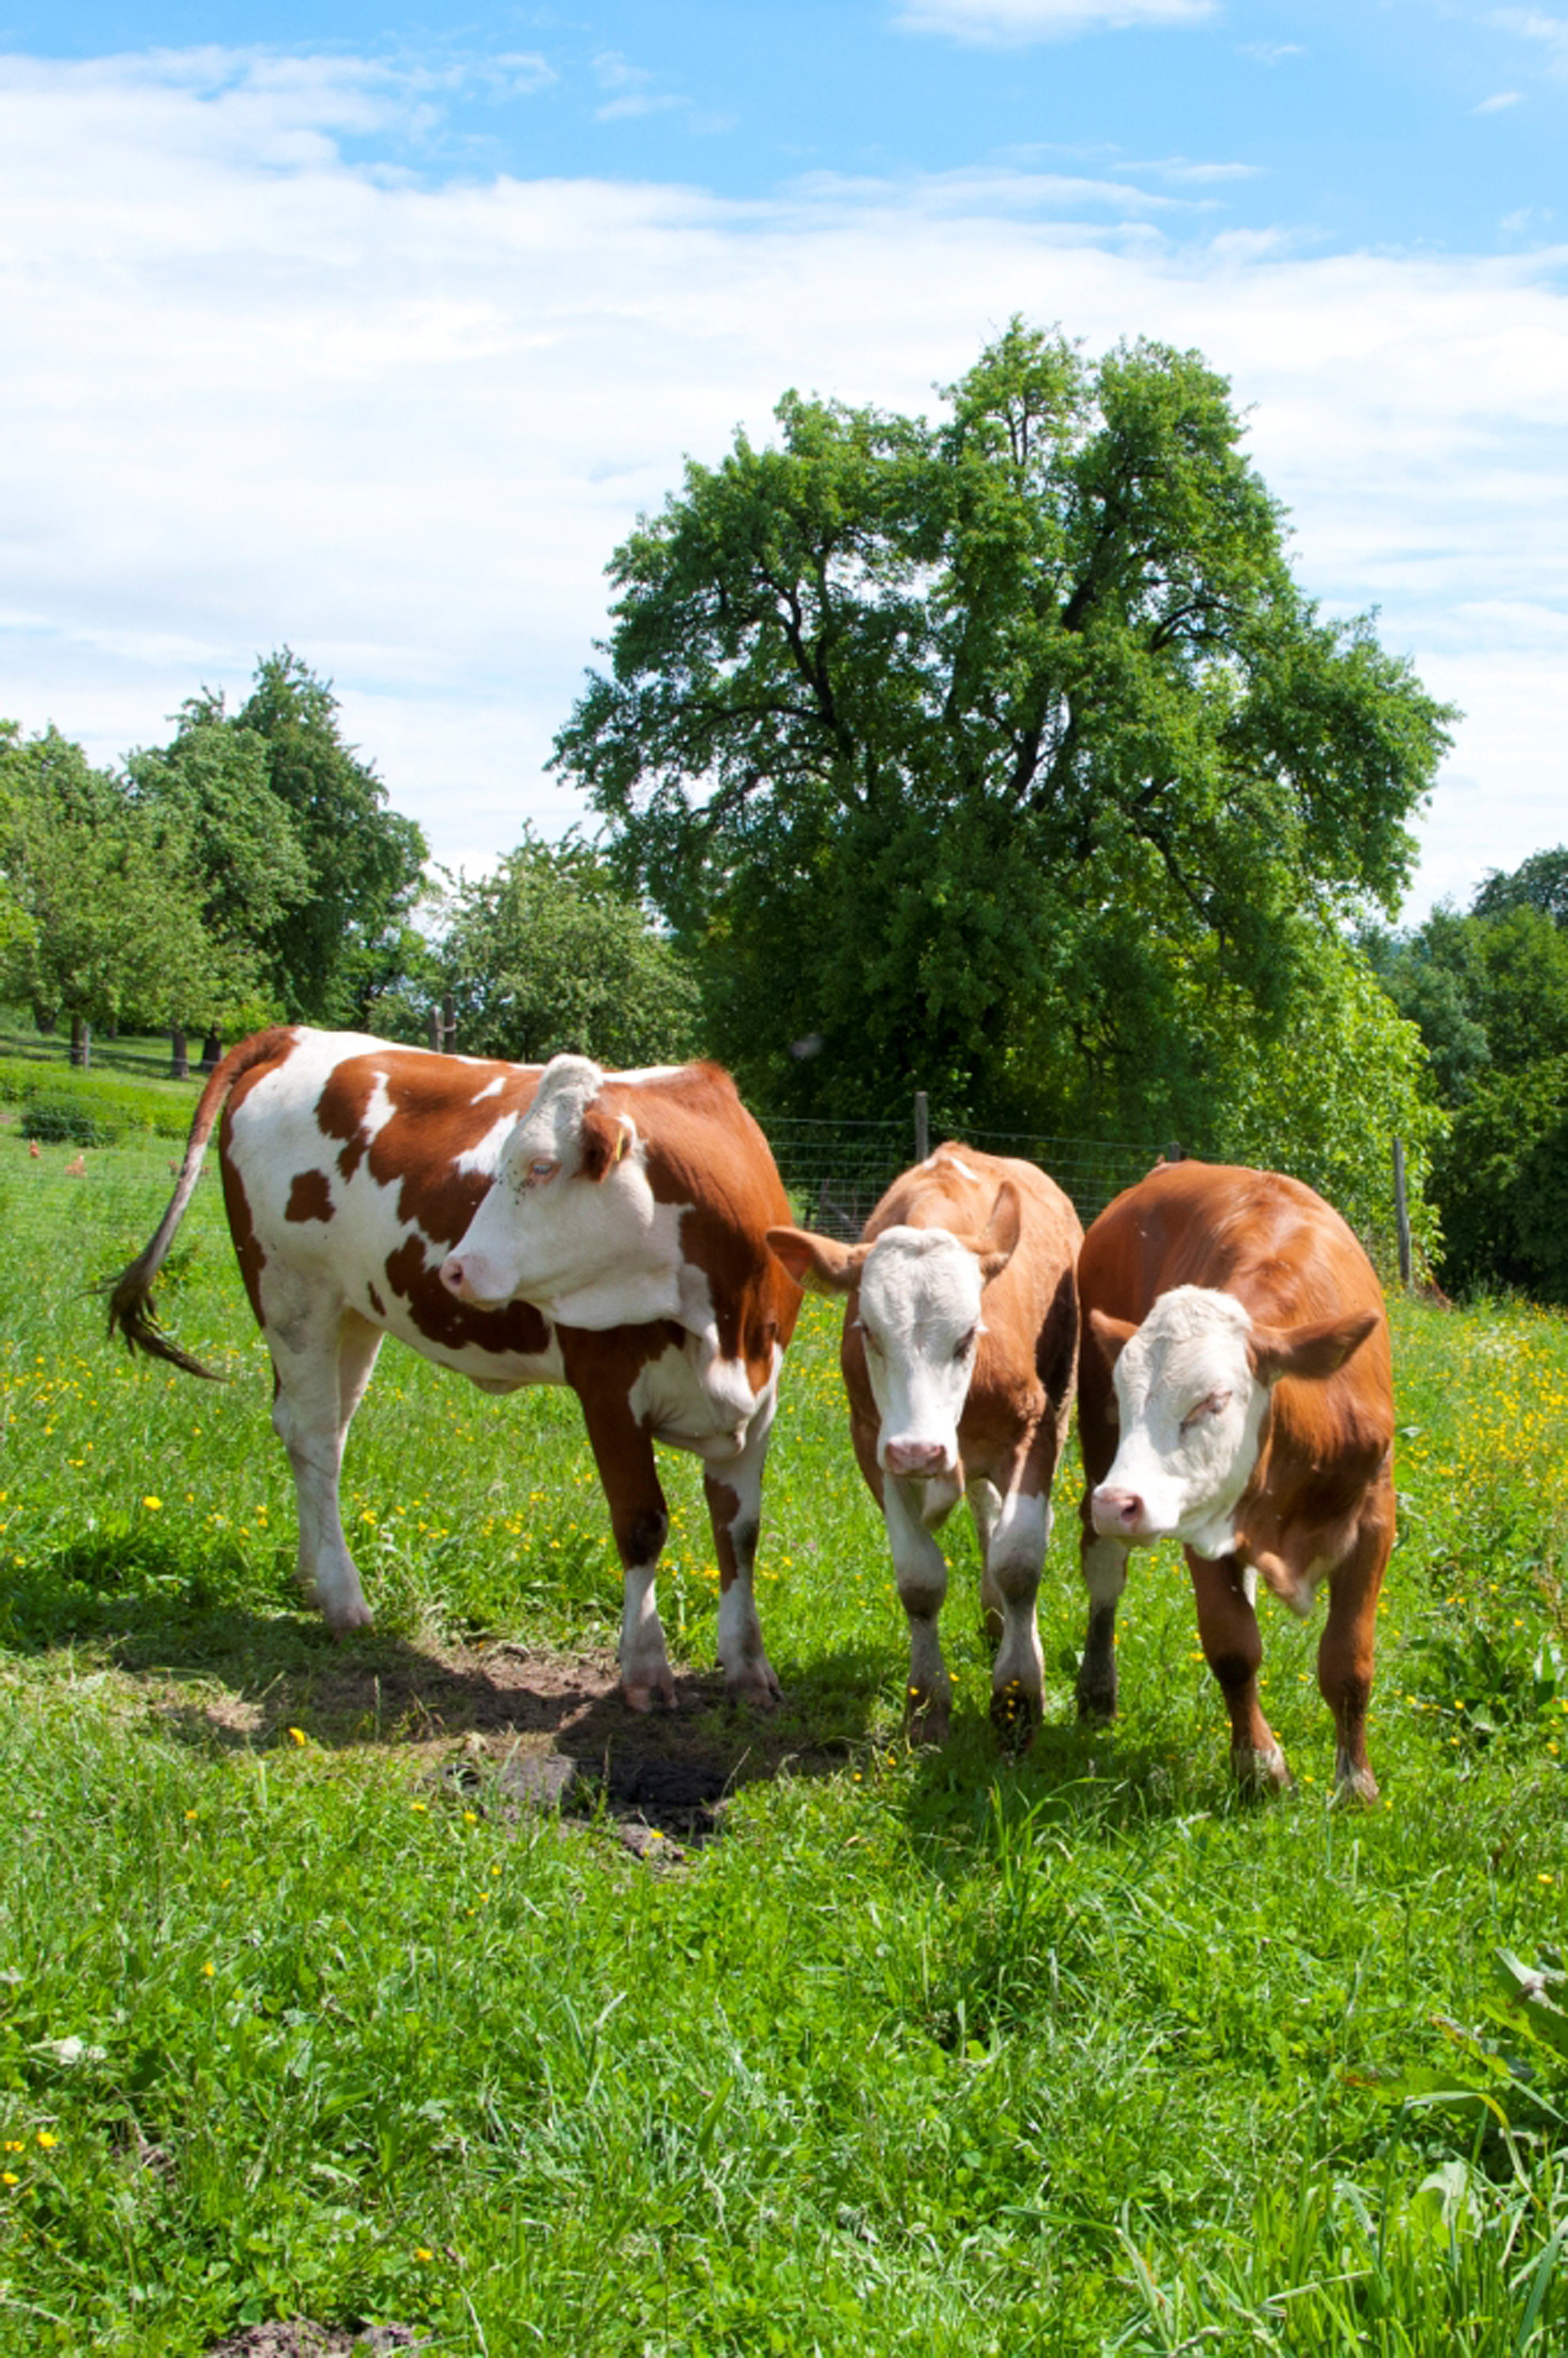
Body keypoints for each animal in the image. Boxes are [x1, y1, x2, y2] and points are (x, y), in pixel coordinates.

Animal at [106, 1028, 802, 1713]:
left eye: (542, 1166)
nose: (455, 1269)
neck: (721, 1328)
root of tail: (294, 1035)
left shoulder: (759, 1403)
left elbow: (739, 1532)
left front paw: (748, 1665)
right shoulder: (608, 1391)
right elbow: (641, 1524)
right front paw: (645, 1668)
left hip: (352, 1311)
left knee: (318, 1431)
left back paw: (313, 1576)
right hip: (292, 1295)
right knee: (313, 1437)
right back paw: (344, 1600)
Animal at [767, 1147, 1081, 1745]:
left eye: (967, 1335)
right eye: (868, 1331)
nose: (920, 1451)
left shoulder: (1035, 1432)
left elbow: (1020, 1561)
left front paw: (1018, 1696)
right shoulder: (875, 1445)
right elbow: (920, 1580)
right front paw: (928, 1704)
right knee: (986, 1516)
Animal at [1075, 1159, 1394, 1801]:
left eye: (1214, 1400)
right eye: (1126, 1397)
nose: (1118, 1503)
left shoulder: (1376, 1516)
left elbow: (1349, 1661)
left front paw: (1355, 1784)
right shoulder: (1195, 1517)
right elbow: (1233, 1648)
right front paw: (1259, 1766)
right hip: (1099, 1454)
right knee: (1104, 1572)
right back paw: (1097, 1685)